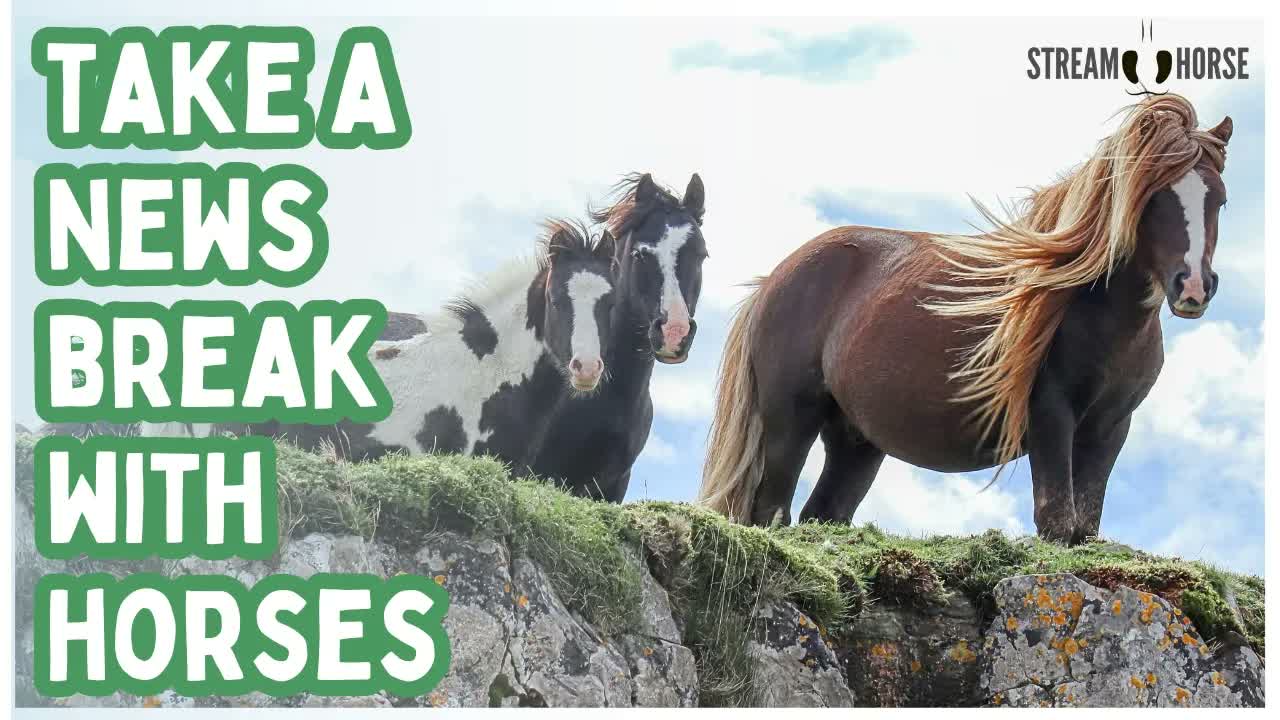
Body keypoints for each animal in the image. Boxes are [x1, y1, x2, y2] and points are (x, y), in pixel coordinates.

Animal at [698, 95, 1232, 544]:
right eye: (1154, 197)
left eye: (1220, 199)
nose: (1192, 287)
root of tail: (775, 280)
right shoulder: (1051, 415)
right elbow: (1057, 523)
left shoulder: (1110, 427)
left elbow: (1084, 526)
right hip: (791, 420)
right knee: (770, 510)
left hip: (856, 440)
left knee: (821, 513)